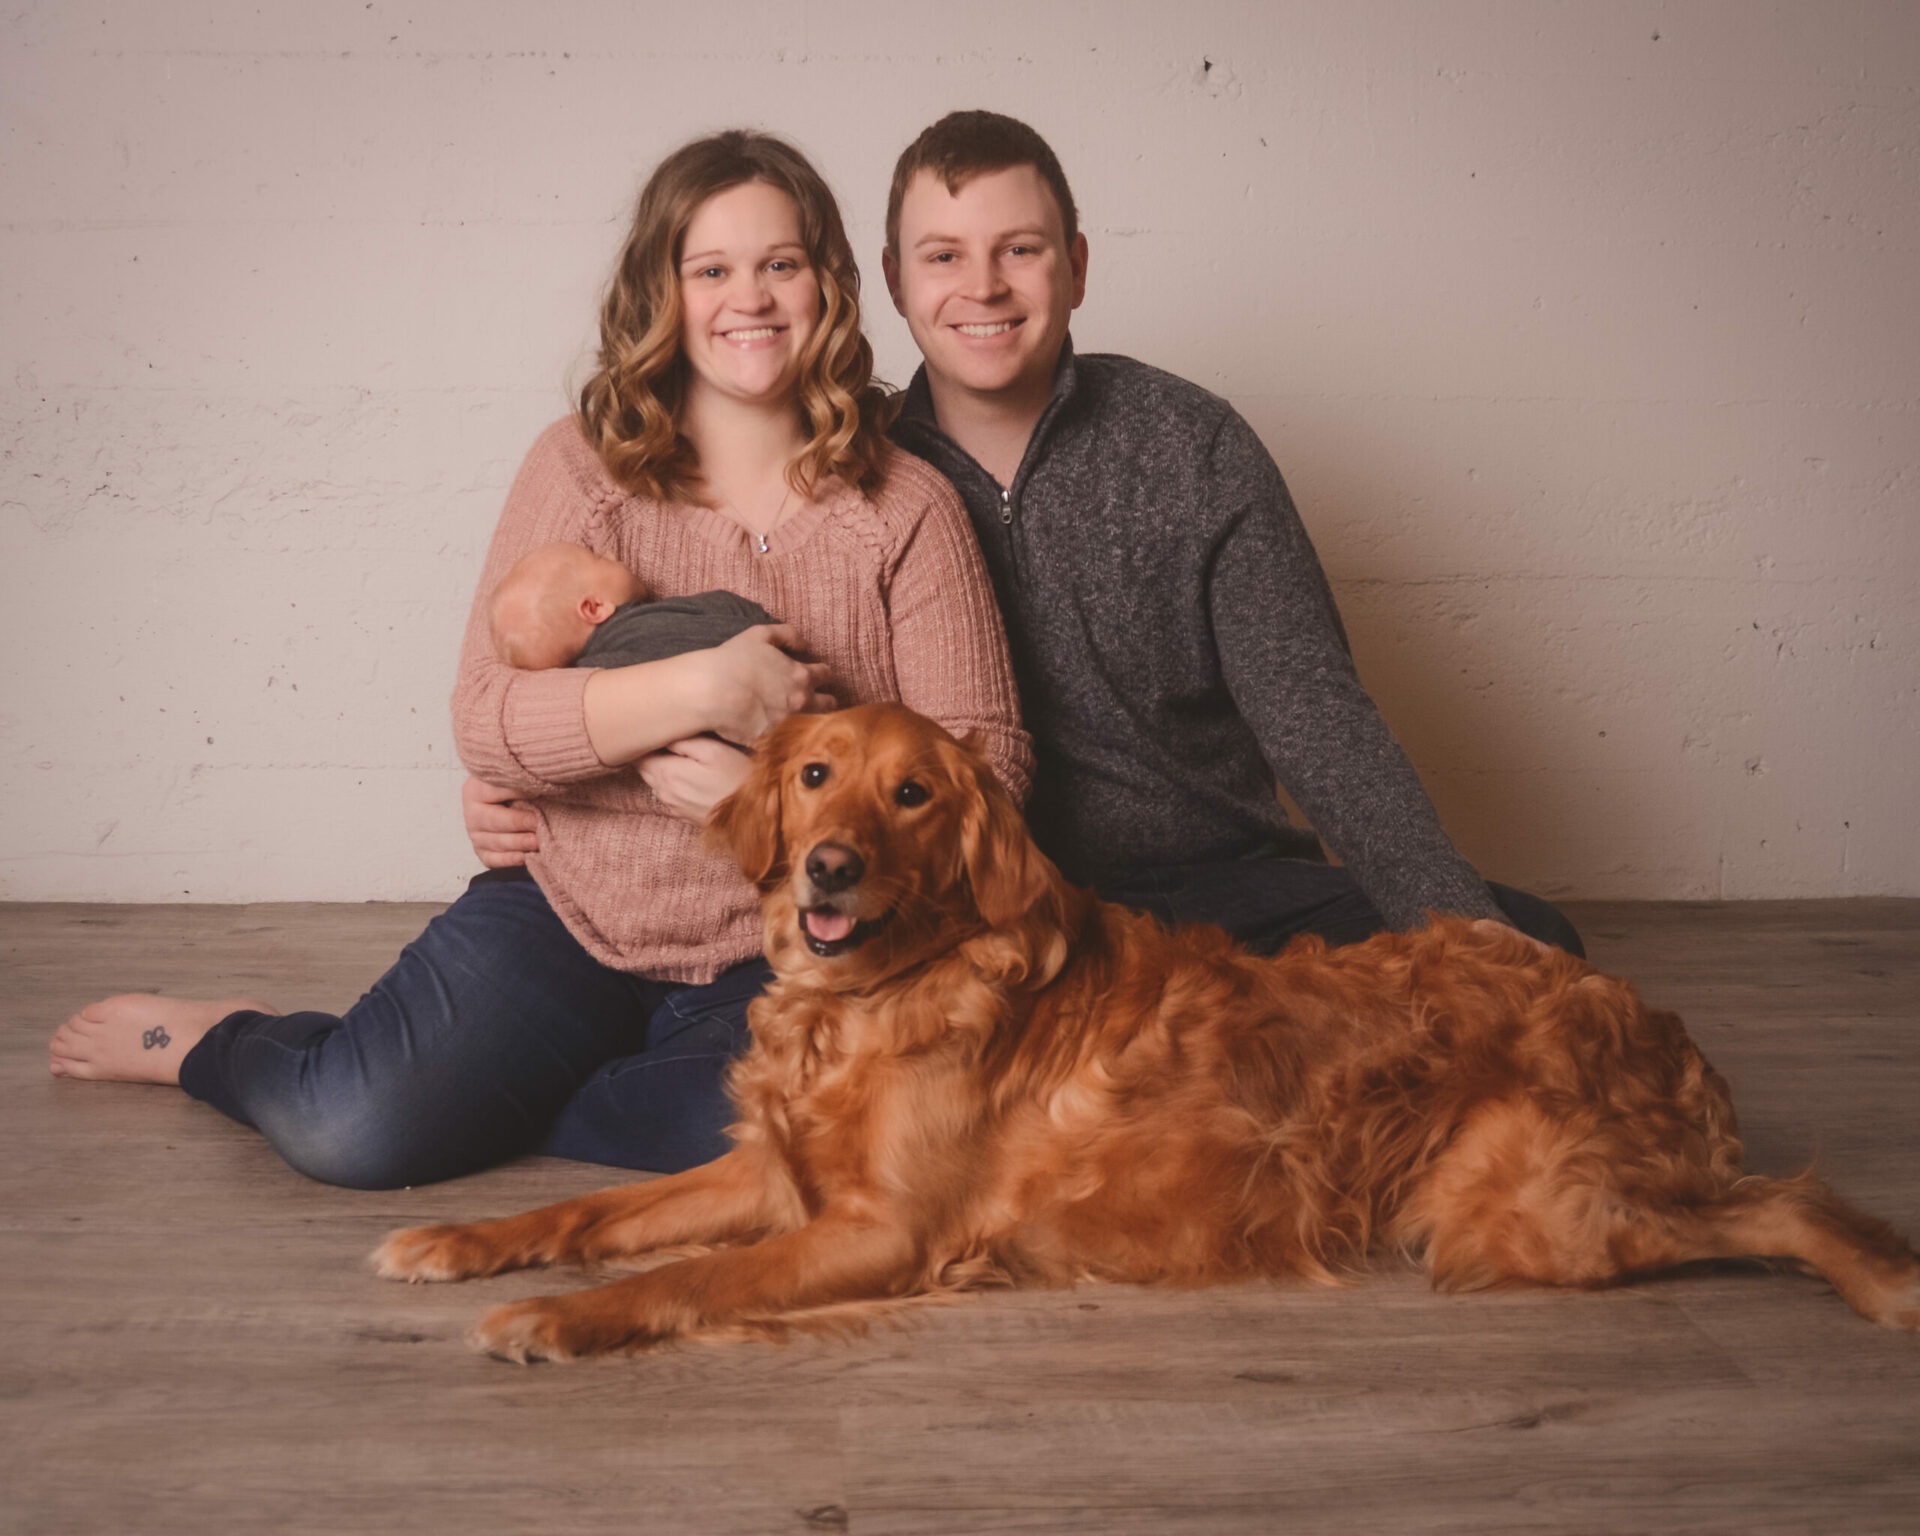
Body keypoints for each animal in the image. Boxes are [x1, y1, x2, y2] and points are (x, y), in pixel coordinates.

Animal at [370, 698, 1920, 1359]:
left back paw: (1884, 1283)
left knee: (1787, 1201)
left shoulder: (880, 1234)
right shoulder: (777, 1174)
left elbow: (679, 1276)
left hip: (1517, 1217)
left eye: (913, 796)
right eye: (815, 776)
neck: (874, 999)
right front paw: (461, 1241)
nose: (830, 868)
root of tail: (1641, 1014)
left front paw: (557, 1320)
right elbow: (587, 1210)